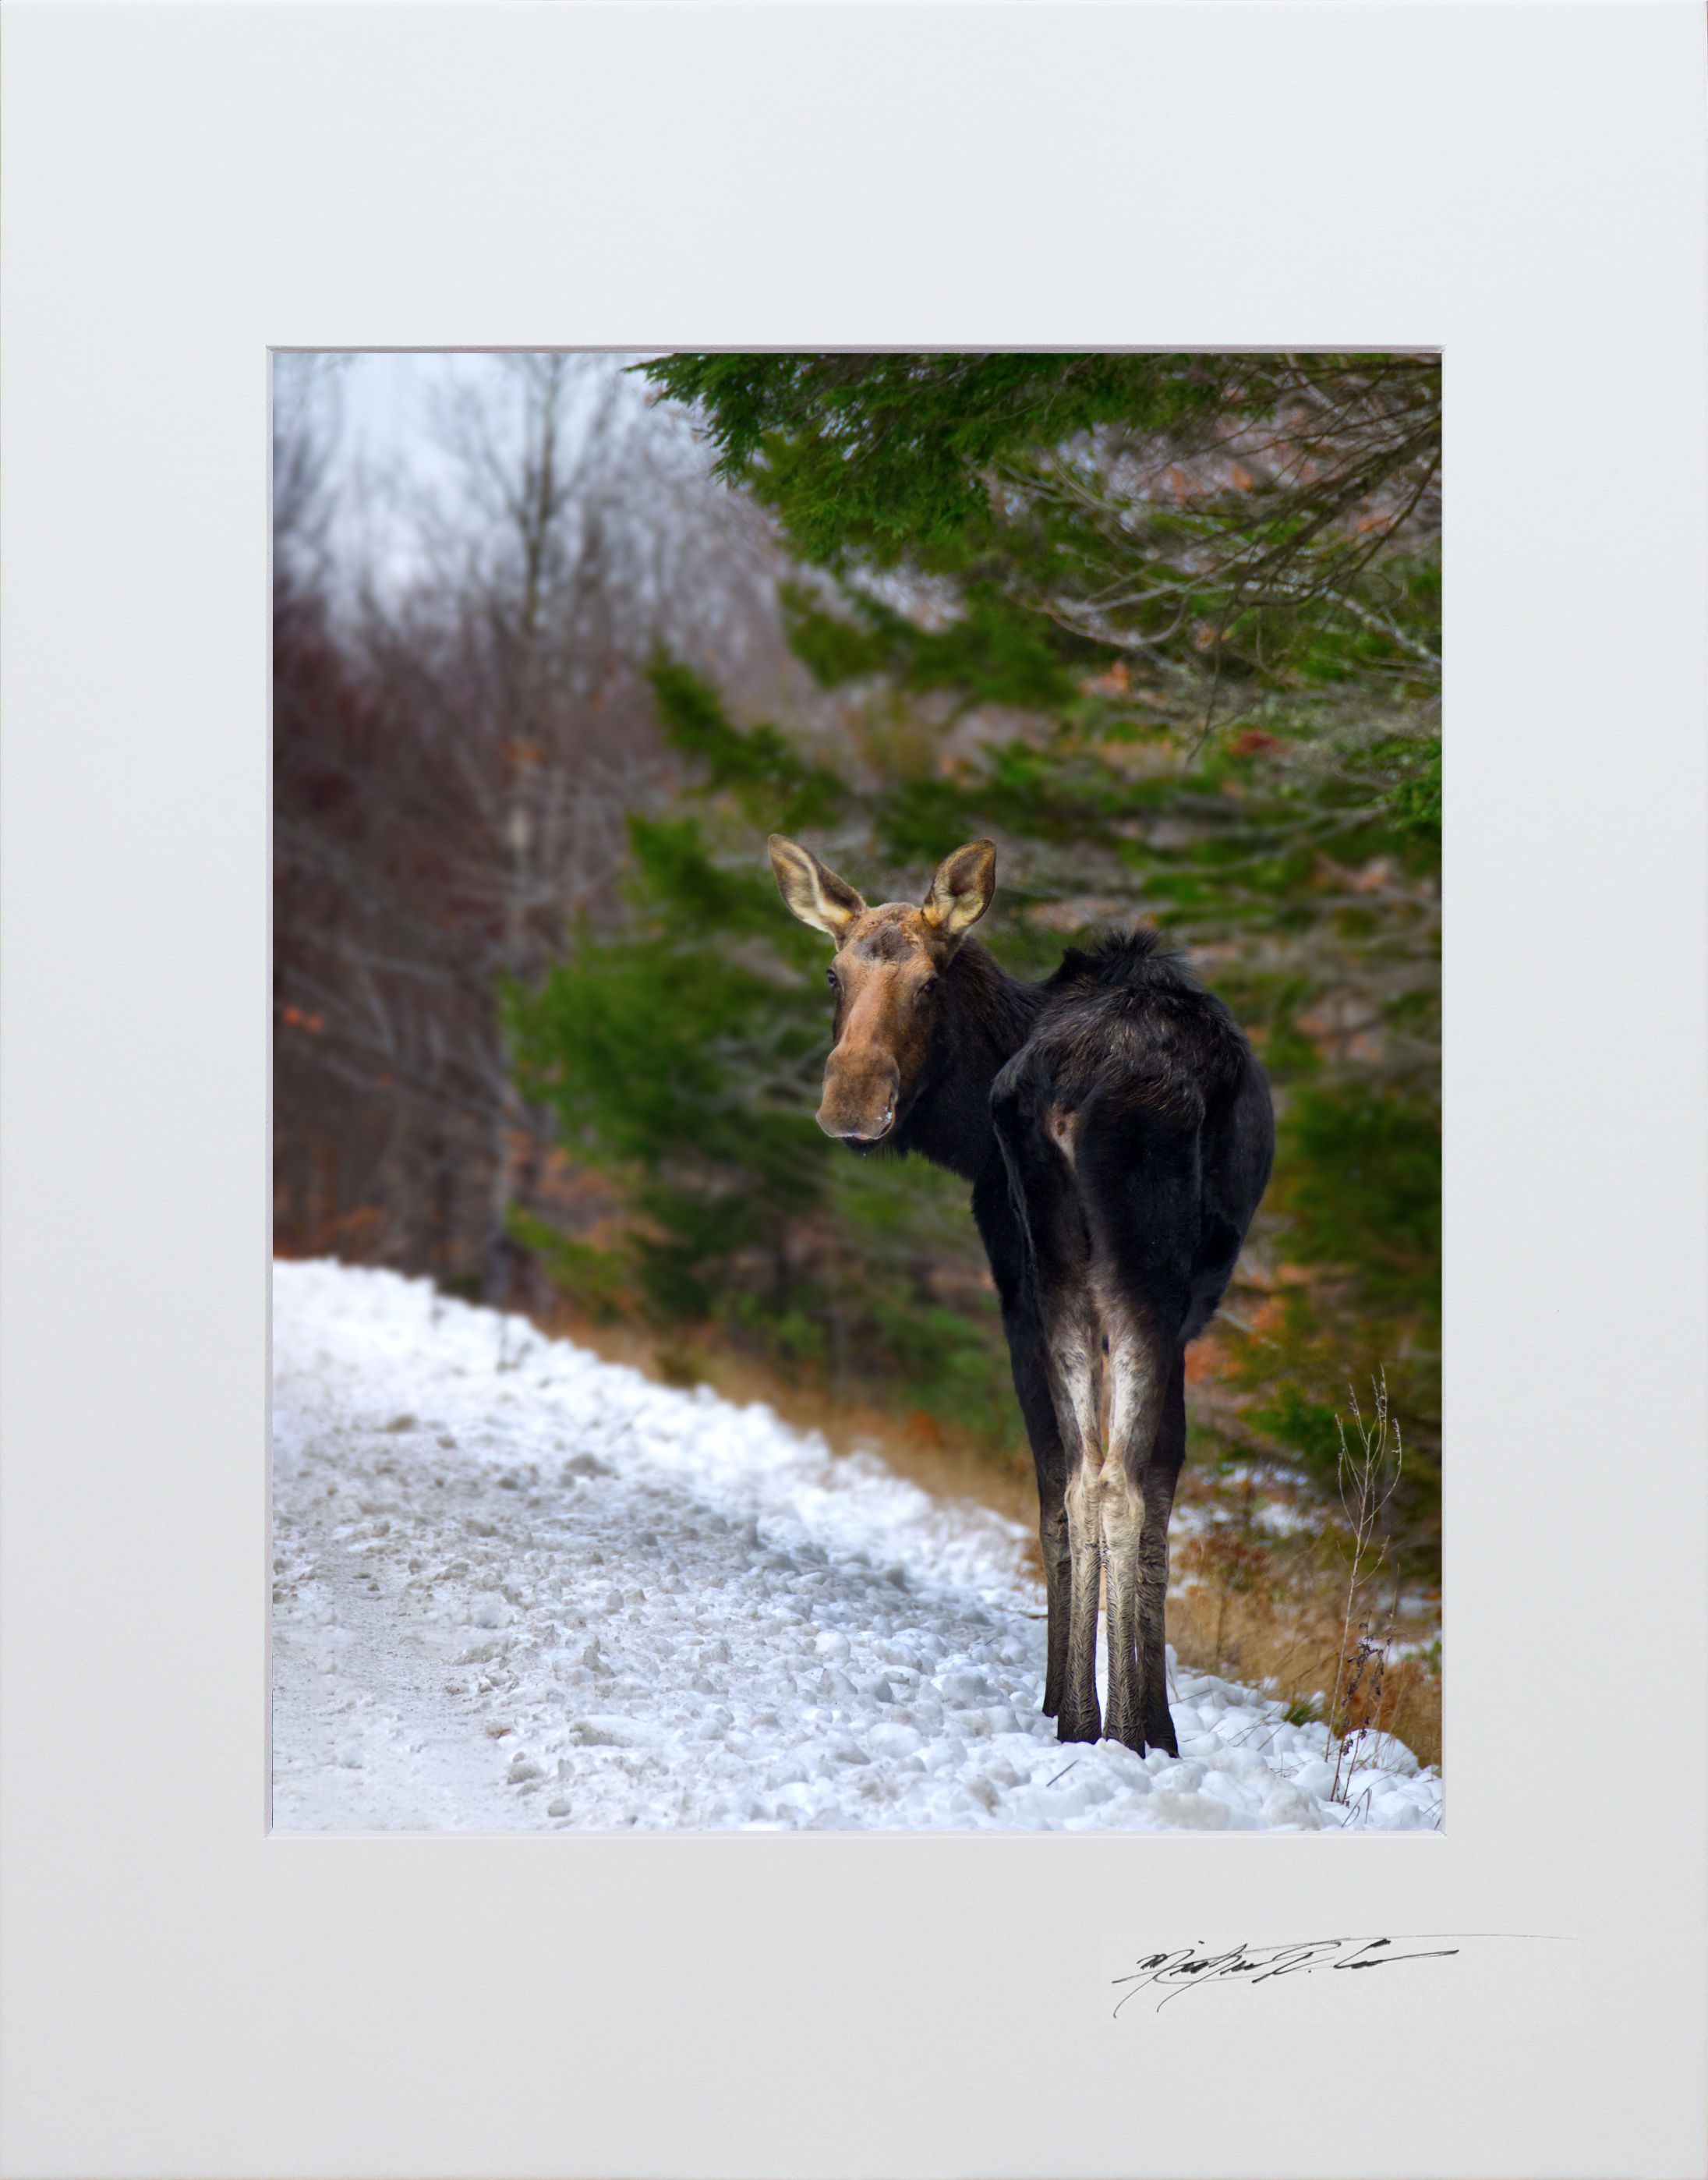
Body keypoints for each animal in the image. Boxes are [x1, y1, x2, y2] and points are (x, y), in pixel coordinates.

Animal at [768, 833, 1274, 1755]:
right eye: (833, 974)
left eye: (928, 982)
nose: (851, 1102)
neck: (966, 1133)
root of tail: (1072, 1092)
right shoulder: (1174, 1307)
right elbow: (1155, 1480)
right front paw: (1153, 1721)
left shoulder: (1016, 1281)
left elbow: (1046, 1479)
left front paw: (1056, 1696)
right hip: (1143, 1276)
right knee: (1114, 1480)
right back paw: (1124, 1731)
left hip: (1067, 1273)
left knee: (1074, 1477)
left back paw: (1076, 1719)